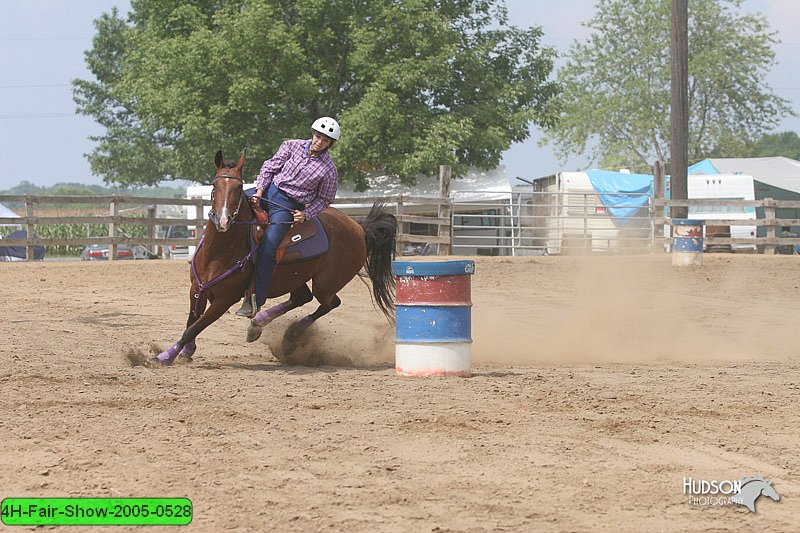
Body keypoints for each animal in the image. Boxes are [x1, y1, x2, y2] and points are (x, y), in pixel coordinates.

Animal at [147, 150, 396, 366]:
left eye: (239, 186)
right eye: (215, 185)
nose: (224, 220)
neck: (218, 253)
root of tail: (359, 227)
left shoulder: (225, 299)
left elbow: (194, 327)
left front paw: (163, 358)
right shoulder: (196, 289)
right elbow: (191, 321)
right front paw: (185, 352)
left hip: (327, 282)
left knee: (329, 302)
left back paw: (290, 336)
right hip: (295, 276)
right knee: (302, 297)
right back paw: (259, 324)